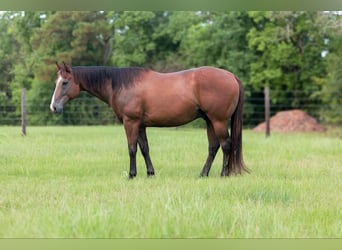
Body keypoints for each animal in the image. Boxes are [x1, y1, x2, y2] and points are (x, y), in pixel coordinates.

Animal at [50, 61, 247, 179]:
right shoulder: (140, 125)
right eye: (56, 82)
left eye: (65, 82)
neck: (121, 85)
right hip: (209, 121)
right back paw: (203, 174)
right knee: (213, 147)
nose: (54, 107)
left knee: (226, 145)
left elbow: (132, 149)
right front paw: (150, 173)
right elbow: (144, 148)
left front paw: (132, 174)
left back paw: (223, 174)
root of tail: (231, 76)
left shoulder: (130, 122)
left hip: (218, 121)